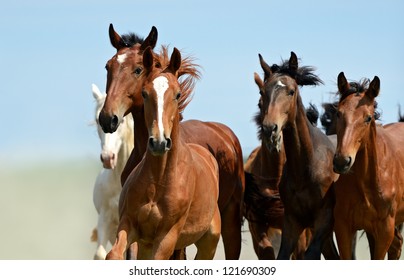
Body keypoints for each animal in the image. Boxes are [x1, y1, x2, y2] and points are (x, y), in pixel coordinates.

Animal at [258, 51, 340, 260]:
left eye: (291, 91)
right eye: (262, 92)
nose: (270, 129)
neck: (306, 167)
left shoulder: (324, 219)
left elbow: (311, 254)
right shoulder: (292, 222)